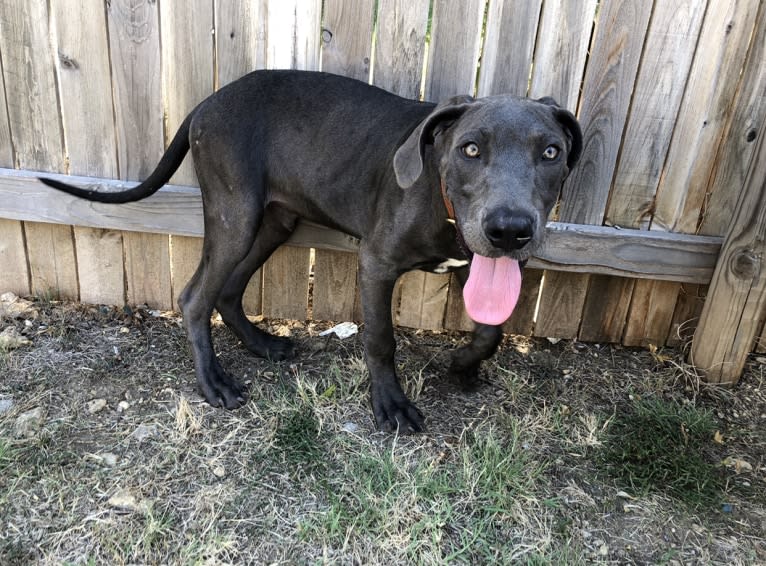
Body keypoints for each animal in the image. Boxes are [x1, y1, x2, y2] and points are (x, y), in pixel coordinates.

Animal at [40, 71, 584, 434]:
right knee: (196, 296)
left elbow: (492, 328)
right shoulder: (377, 264)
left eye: (551, 152)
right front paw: (390, 404)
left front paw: (464, 365)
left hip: (274, 221)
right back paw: (214, 383)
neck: (440, 197)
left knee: (228, 291)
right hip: (235, 214)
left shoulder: (487, 265)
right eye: (471, 149)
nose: (510, 231)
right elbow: (381, 339)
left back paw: (262, 344)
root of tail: (206, 103)